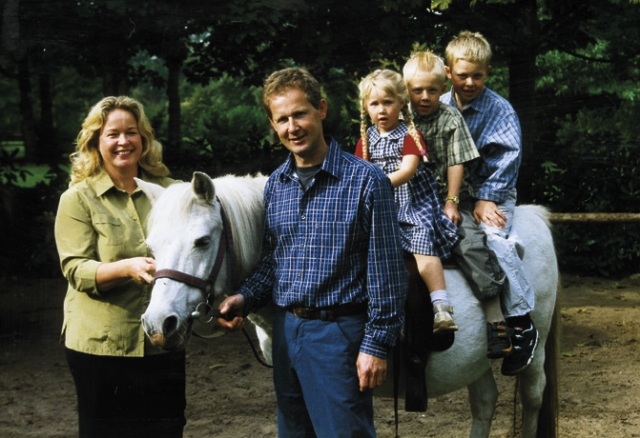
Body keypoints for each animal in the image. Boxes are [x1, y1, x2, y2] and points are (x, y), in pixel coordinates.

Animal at [138, 171, 556, 438]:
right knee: (484, 402)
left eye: (203, 241)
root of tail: (533, 217)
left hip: (533, 359)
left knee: (533, 397)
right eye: (153, 247)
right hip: (476, 360)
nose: (159, 323)